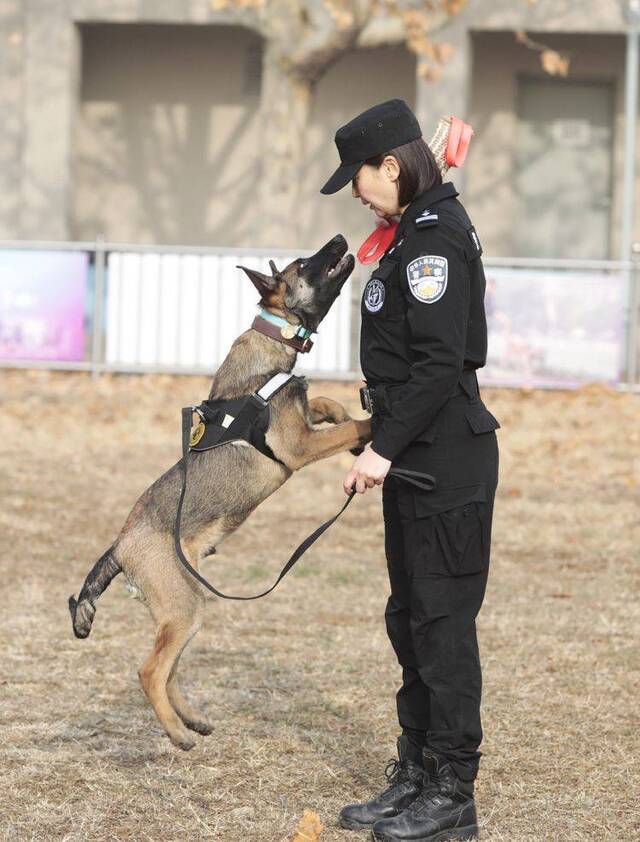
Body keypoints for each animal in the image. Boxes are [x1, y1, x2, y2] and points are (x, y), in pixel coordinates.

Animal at [68, 231, 370, 748]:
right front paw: (370, 427)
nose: (339, 239)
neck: (274, 336)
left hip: (184, 609)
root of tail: (119, 545)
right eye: (305, 263)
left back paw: (192, 718)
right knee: (150, 671)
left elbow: (326, 402)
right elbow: (348, 427)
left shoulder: (302, 425)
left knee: (169, 670)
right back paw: (178, 733)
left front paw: (344, 415)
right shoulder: (299, 447)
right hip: (185, 607)